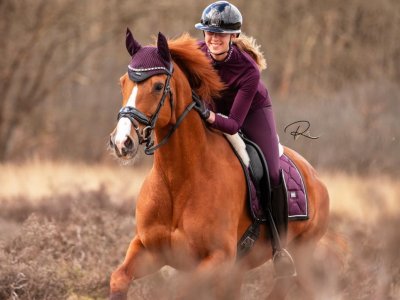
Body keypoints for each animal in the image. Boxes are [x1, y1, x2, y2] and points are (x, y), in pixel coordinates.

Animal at [108, 28, 330, 300]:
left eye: (158, 86)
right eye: (123, 82)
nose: (122, 142)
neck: (178, 179)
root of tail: (316, 178)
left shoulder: (217, 259)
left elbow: (179, 292)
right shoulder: (149, 250)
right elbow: (119, 278)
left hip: (302, 254)